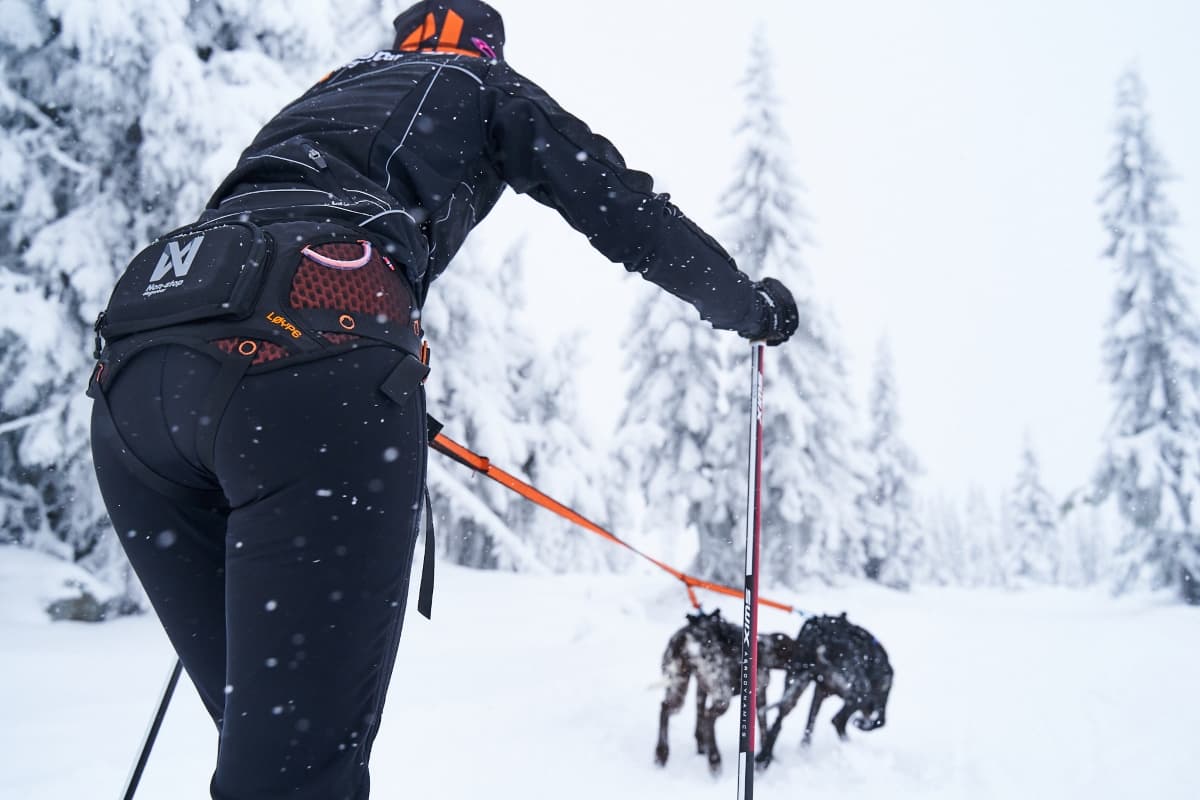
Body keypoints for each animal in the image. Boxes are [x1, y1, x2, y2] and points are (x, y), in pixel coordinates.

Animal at [652, 614, 792, 777]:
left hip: (677, 686)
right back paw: (715, 760)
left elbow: (699, 716)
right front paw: (766, 759)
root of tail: (686, 636)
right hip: (723, 696)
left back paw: (661, 753)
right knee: (708, 717)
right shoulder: (760, 693)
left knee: (666, 708)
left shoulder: (702, 689)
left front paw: (701, 746)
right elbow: (764, 727)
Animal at [758, 614, 892, 762]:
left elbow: (809, 725)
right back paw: (850, 747)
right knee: (838, 720)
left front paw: (804, 749)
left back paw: (763, 758)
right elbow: (880, 721)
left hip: (794, 686)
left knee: (778, 722)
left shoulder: (819, 693)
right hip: (859, 691)